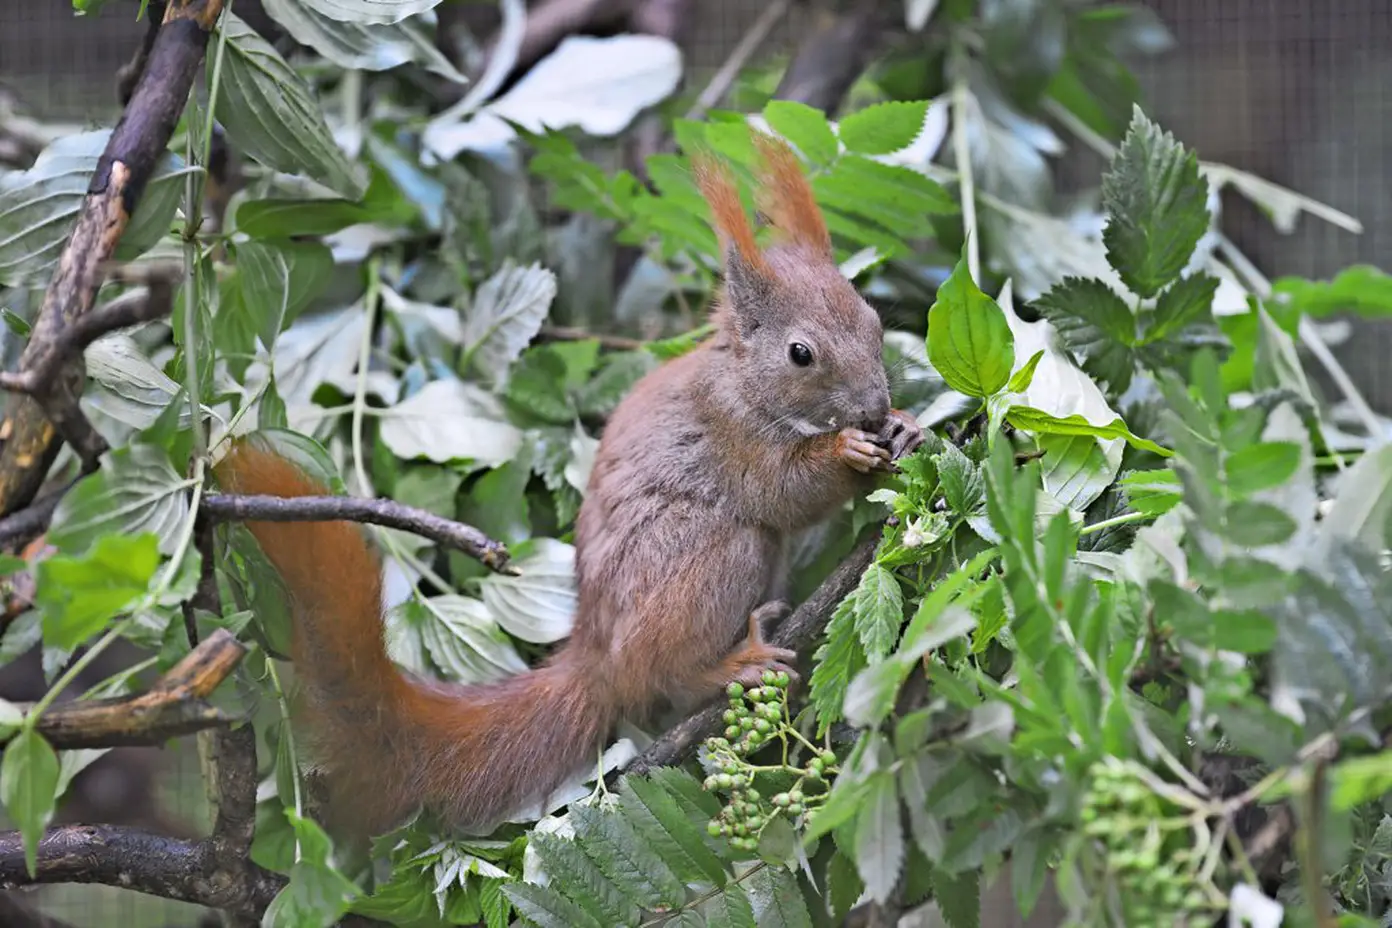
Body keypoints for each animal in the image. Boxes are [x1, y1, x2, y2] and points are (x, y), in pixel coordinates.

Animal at [213, 134, 924, 838]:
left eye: (872, 319)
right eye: (801, 354)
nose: (871, 405)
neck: (742, 382)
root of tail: (598, 661)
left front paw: (905, 427)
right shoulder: (732, 436)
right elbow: (783, 491)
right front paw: (847, 449)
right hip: (707, 556)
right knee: (668, 666)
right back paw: (728, 664)